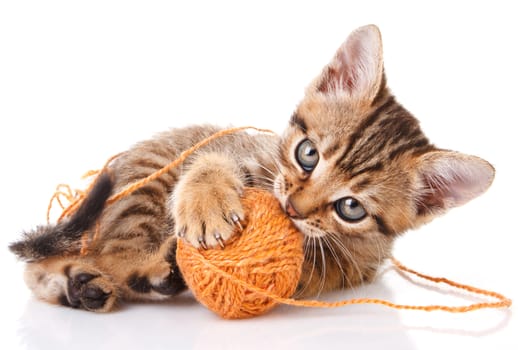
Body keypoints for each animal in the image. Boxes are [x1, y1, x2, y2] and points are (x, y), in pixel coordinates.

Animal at [8, 26, 496, 314]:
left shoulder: (349, 267)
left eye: (351, 208)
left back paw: (95, 284)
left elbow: (310, 270)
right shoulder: (233, 145)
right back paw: (129, 274)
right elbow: (211, 159)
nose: (294, 208)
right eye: (307, 154)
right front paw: (207, 203)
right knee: (105, 254)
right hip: (146, 186)